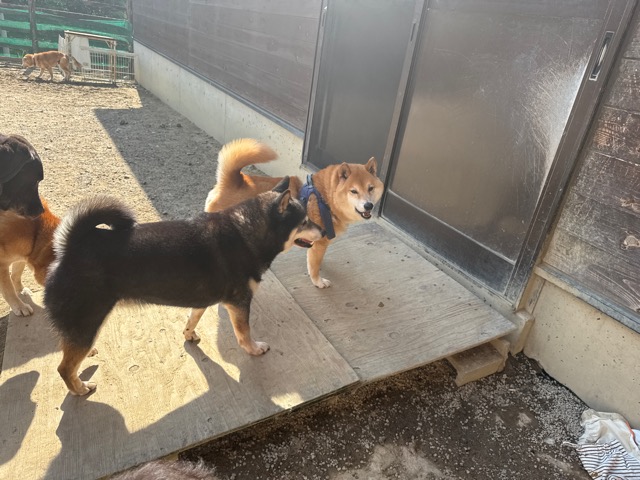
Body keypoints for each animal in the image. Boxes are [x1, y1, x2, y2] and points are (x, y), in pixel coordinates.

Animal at [0, 134, 59, 316]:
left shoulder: (22, 256)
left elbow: (16, 274)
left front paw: (21, 290)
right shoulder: (1, 265)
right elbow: (8, 290)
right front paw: (19, 305)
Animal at [44, 179, 324, 396]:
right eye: (305, 221)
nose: (323, 231)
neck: (247, 232)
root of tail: (70, 248)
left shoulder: (203, 300)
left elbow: (193, 318)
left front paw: (189, 334)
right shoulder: (239, 303)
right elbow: (244, 334)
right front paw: (254, 349)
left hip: (84, 327)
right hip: (87, 322)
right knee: (63, 368)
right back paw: (79, 388)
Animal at [204, 138, 385, 288]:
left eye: (370, 188)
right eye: (353, 191)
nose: (368, 206)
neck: (325, 199)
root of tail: (233, 181)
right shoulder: (319, 242)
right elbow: (314, 267)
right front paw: (318, 281)